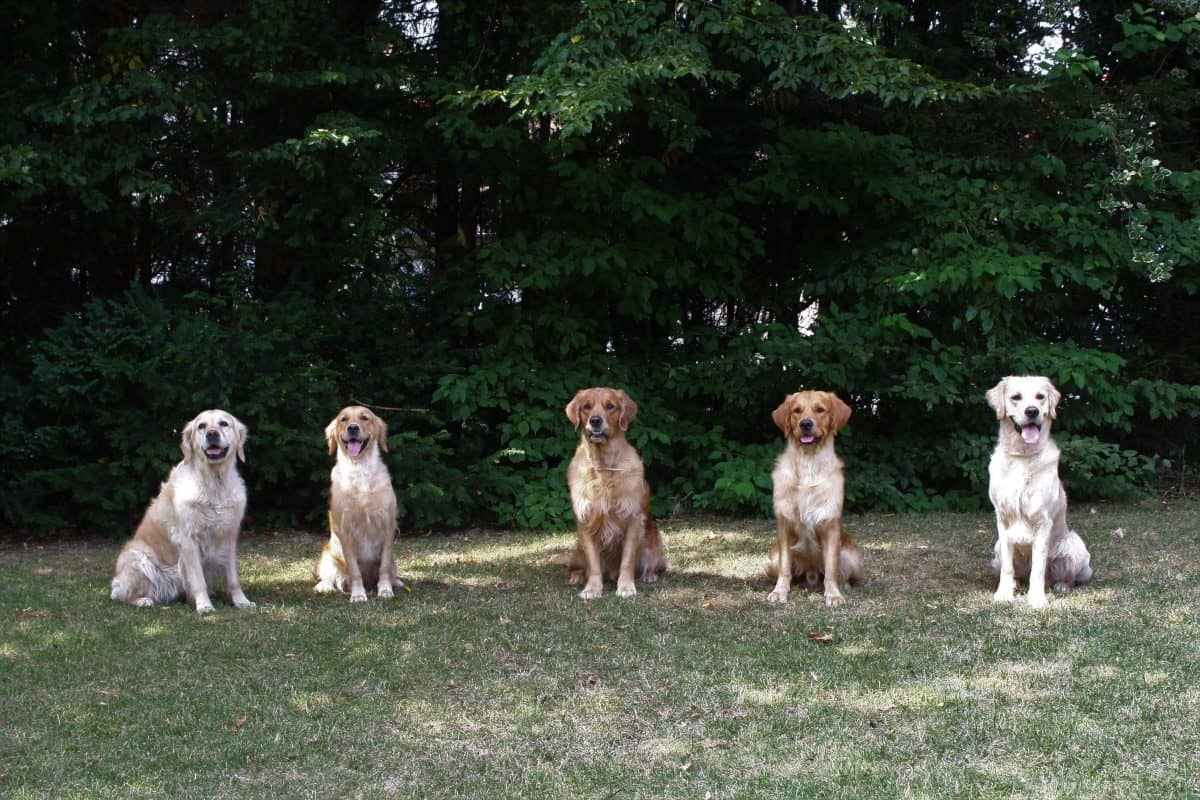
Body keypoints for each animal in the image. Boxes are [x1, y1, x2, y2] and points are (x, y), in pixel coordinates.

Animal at [111, 410, 254, 618]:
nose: (212, 434)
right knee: (121, 594)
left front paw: (242, 601)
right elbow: (198, 580)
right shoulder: (188, 540)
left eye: (223, 423)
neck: (214, 483)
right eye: (201, 426)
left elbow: (233, 578)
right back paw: (143, 600)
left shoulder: (228, 537)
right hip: (138, 558)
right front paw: (204, 606)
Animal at [988, 376, 1094, 606]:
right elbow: (1007, 568)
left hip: (1075, 545)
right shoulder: (1003, 519)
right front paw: (1004, 594)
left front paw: (1036, 599)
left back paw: (1062, 586)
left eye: (1040, 397)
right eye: (1016, 397)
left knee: (1062, 578)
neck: (1023, 456)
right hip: (997, 547)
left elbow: (1037, 568)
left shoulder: (1043, 521)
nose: (1032, 411)